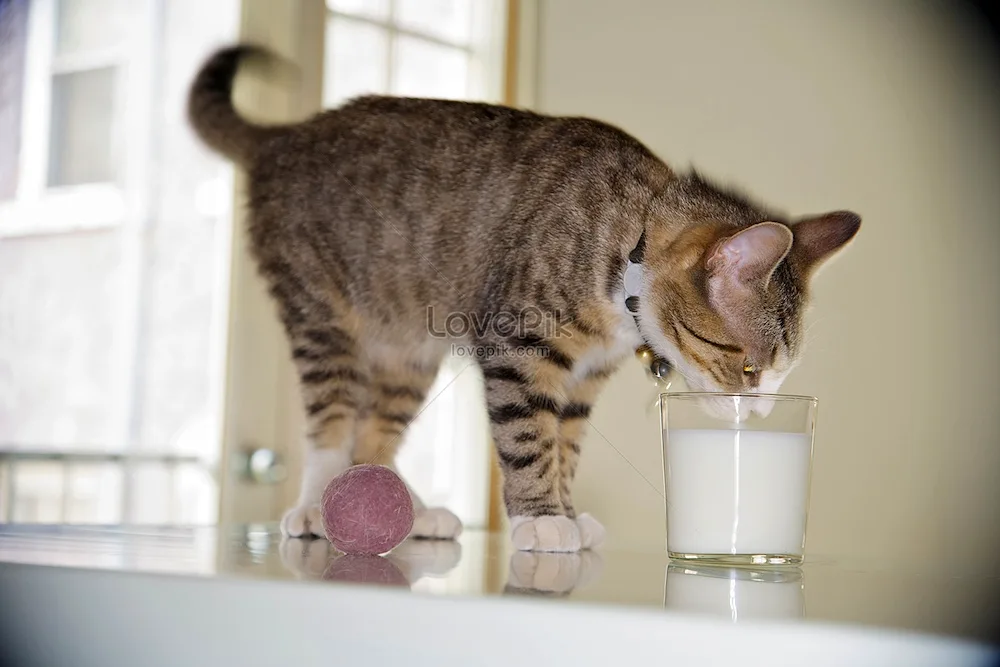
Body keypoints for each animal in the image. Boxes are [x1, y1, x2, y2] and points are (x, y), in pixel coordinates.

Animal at [188, 45, 860, 552]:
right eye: (747, 368)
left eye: (781, 373)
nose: (763, 413)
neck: (629, 237)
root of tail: (286, 138)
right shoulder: (520, 344)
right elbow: (530, 433)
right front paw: (542, 520)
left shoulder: (585, 377)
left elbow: (565, 442)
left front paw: (565, 511)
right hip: (322, 311)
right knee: (334, 415)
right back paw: (318, 503)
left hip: (407, 348)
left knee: (376, 427)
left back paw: (401, 507)